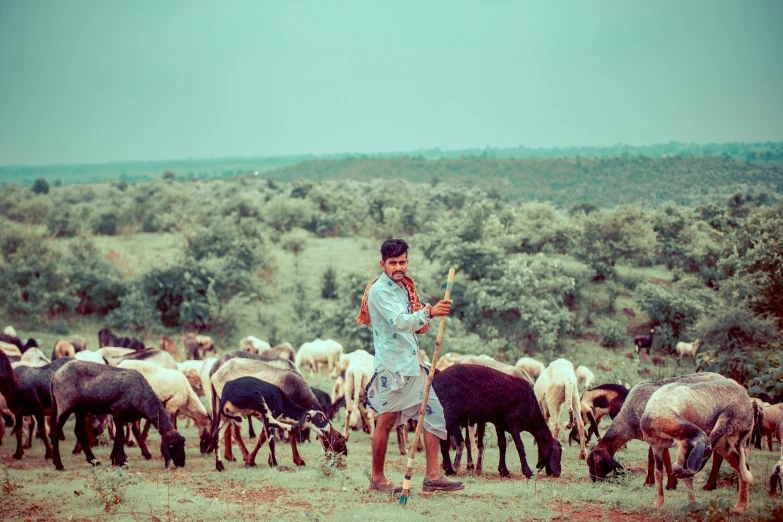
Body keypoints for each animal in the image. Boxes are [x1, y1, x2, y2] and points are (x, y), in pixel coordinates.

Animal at [49, 360, 187, 470]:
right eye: (171, 446)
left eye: (183, 444)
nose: (181, 463)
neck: (144, 397)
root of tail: (54, 376)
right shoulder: (117, 410)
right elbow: (120, 435)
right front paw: (122, 461)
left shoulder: (123, 416)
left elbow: (116, 436)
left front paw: (114, 459)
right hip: (65, 405)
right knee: (55, 432)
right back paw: (58, 464)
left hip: (80, 409)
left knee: (79, 432)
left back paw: (94, 461)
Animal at [208, 356, 346, 470]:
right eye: (340, 443)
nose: (342, 461)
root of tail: (215, 374)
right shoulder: (269, 415)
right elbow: (266, 437)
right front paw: (252, 461)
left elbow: (288, 435)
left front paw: (296, 460)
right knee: (234, 432)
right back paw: (241, 456)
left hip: (225, 412)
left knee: (220, 432)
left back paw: (226, 458)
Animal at [434, 364, 564, 478]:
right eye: (560, 451)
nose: (557, 473)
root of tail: (436, 380)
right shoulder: (512, 420)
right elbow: (520, 446)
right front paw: (528, 472)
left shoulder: (499, 423)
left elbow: (502, 445)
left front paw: (504, 471)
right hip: (449, 413)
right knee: (444, 442)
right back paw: (449, 470)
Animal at [584, 368, 724, 486]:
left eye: (598, 463)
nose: (594, 481)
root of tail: (723, 377)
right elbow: (651, 458)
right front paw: (649, 482)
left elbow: (664, 459)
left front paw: (670, 485)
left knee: (718, 456)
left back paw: (709, 485)